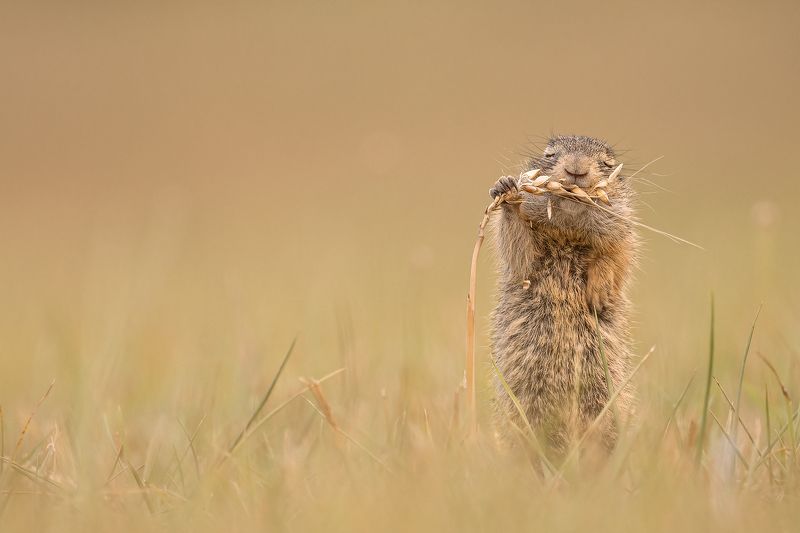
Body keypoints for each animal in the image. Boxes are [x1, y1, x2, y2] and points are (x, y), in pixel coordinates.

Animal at [489, 134, 638, 454]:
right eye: (550, 155)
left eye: (607, 162)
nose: (576, 168)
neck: (568, 235)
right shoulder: (527, 257)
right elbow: (519, 252)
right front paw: (506, 189)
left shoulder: (624, 229)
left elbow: (617, 256)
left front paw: (598, 292)